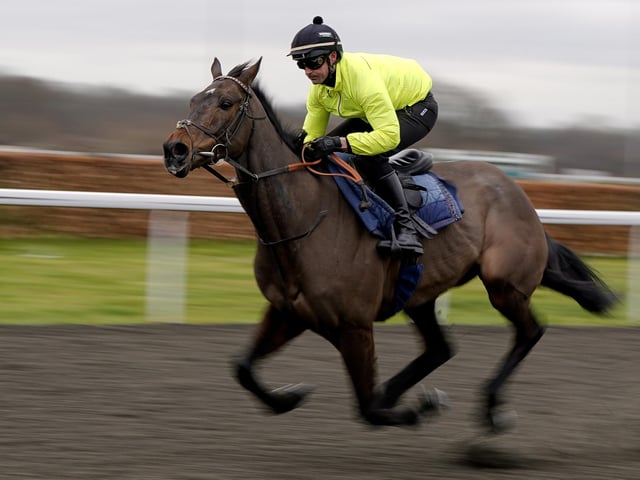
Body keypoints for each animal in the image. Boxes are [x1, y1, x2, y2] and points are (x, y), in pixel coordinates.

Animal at [162, 57, 617, 431]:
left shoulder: (354, 325)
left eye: (225, 103)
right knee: (440, 348)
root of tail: (517, 191)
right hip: (419, 293)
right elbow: (242, 368)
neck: (304, 220)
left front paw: (419, 408)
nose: (174, 149)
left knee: (530, 331)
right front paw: (288, 397)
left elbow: (368, 407)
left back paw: (491, 409)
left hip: (504, 283)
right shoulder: (288, 312)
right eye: (193, 99)